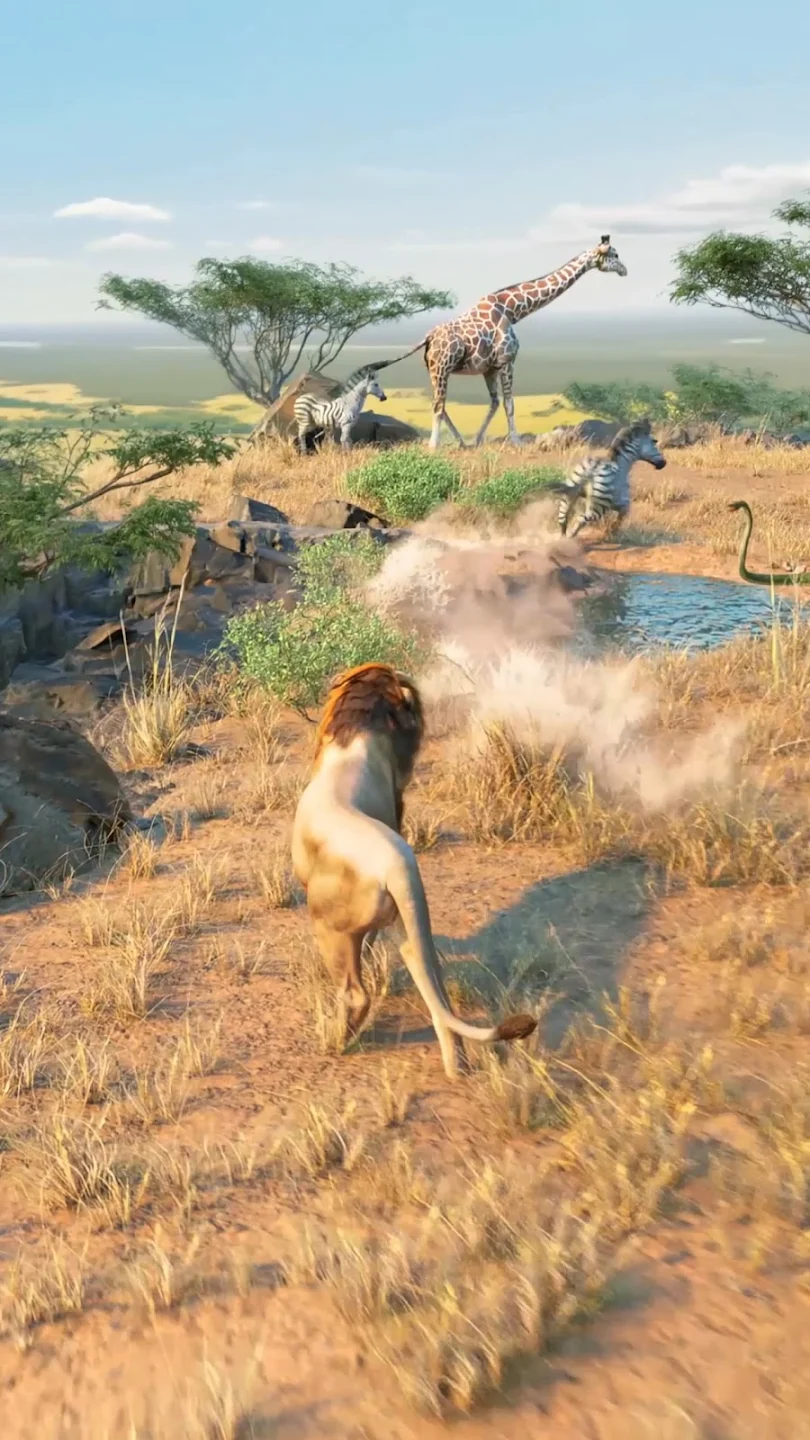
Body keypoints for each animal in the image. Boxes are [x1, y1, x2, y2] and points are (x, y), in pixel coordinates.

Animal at [291, 661, 537, 1079]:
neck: (358, 735)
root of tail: (398, 863)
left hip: (328, 925)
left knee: (355, 994)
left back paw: (334, 1041)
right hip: (411, 927)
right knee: (439, 995)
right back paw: (457, 1068)